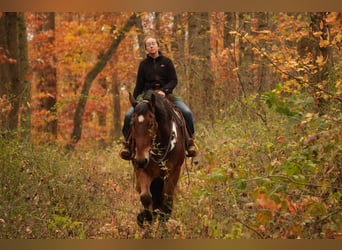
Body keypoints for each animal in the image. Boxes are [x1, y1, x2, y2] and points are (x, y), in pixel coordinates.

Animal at [128, 91, 187, 228]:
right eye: (132, 124)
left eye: (150, 124)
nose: (141, 160)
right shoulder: (142, 170)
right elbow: (145, 197)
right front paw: (146, 219)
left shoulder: (173, 173)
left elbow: (167, 201)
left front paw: (162, 225)